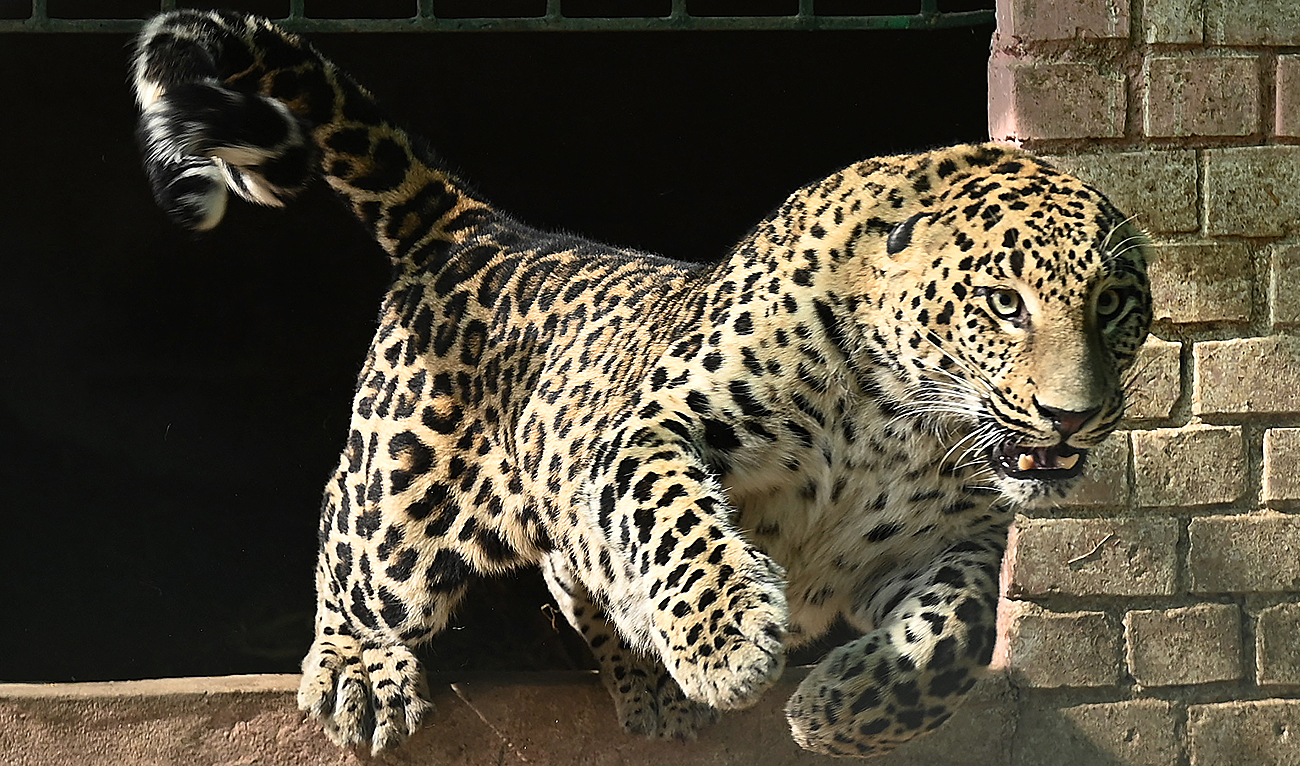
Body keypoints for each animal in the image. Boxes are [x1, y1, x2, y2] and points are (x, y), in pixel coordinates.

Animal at [130, 9, 1153, 759]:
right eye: (1006, 303)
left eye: (1114, 305)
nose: (1074, 416)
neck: (898, 424)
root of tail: (479, 228)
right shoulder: (651, 430)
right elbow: (679, 525)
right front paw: (731, 642)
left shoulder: (953, 539)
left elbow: (959, 635)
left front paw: (844, 712)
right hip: (399, 509)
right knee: (351, 546)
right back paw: (357, 668)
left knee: (573, 570)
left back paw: (653, 679)